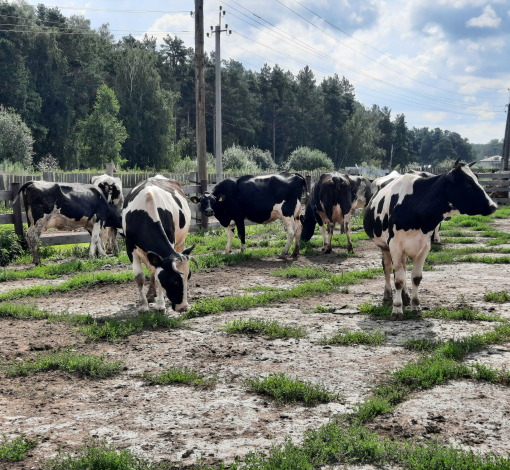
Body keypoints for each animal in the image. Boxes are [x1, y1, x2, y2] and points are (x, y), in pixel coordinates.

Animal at [121, 175, 197, 312]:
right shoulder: (129, 246)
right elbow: (139, 276)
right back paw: (150, 295)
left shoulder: (171, 241)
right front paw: (143, 306)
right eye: (175, 280)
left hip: (180, 242)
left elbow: (157, 274)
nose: (183, 307)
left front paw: (160, 305)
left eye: (188, 277)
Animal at [364, 160, 496, 322]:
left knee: (402, 268)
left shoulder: (424, 246)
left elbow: (415, 278)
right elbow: (399, 280)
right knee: (388, 268)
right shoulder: (394, 245)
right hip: (384, 246)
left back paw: (405, 297)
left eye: (477, 179)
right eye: (468, 184)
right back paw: (388, 295)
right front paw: (397, 309)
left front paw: (416, 306)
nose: (493, 206)